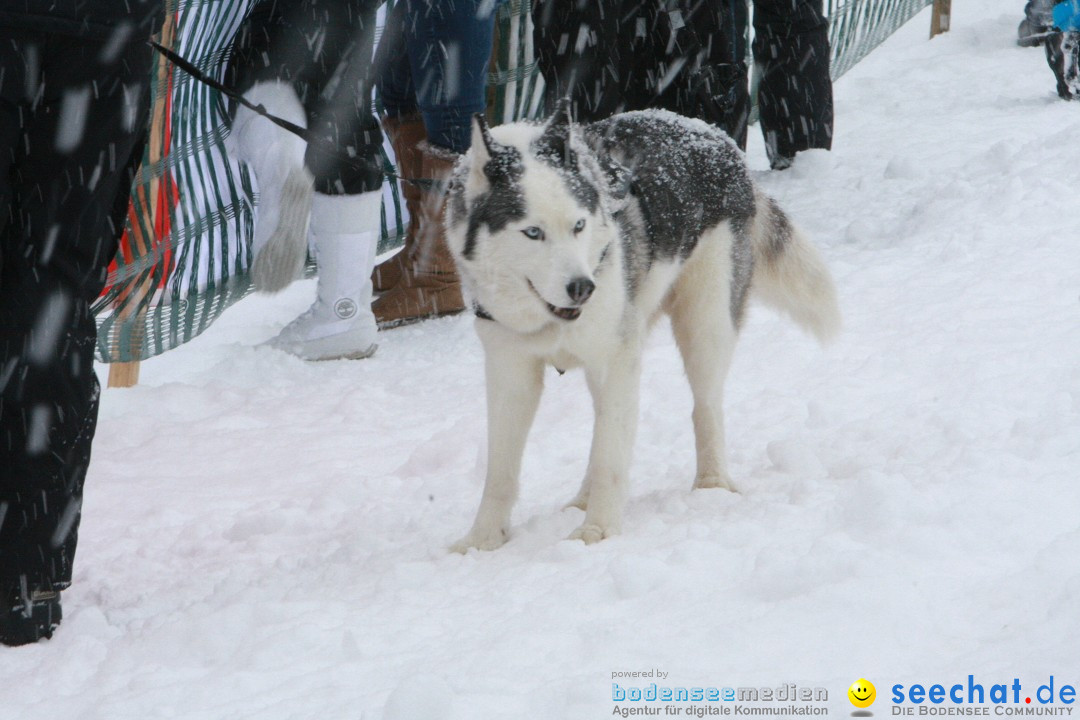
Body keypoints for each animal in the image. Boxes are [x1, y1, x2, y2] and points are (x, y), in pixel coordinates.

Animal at [442, 102, 838, 552]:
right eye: (532, 232)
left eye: (578, 225)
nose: (583, 288)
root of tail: (713, 134)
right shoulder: (510, 369)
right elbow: (500, 470)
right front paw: (482, 539)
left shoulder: (616, 358)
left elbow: (610, 456)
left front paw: (598, 530)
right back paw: (583, 498)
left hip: (703, 324)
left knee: (705, 406)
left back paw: (713, 484)